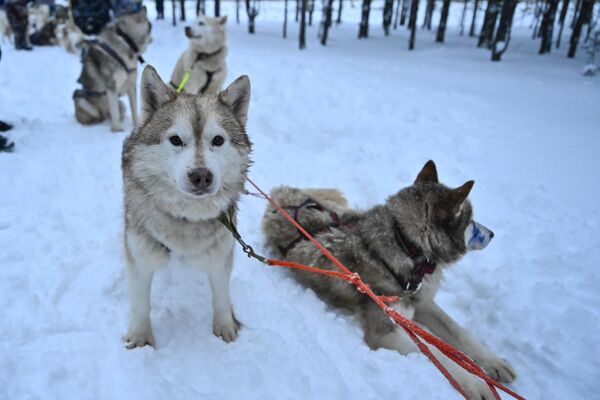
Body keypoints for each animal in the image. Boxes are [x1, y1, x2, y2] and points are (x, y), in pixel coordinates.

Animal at [120, 64, 252, 348]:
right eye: (176, 140)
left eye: (218, 140)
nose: (201, 176)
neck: (187, 218)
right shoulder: (140, 256)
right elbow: (140, 303)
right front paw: (140, 337)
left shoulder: (221, 254)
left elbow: (221, 296)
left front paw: (225, 326)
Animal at [262, 160, 516, 400]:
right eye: (470, 220)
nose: (492, 234)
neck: (407, 247)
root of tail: (279, 193)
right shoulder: (386, 333)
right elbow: (438, 355)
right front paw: (477, 384)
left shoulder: (422, 302)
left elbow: (459, 331)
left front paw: (494, 362)